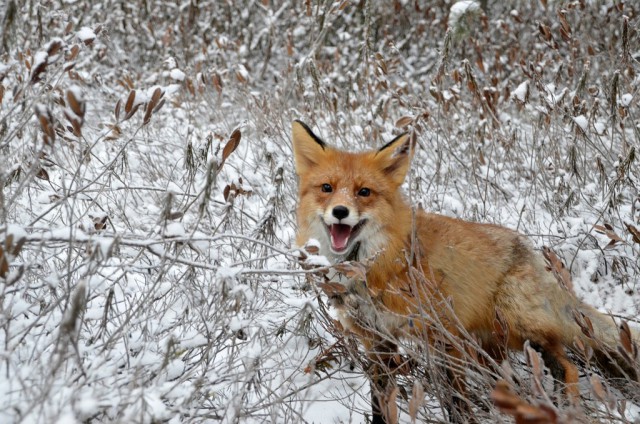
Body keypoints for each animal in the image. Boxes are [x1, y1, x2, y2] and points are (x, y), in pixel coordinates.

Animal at [292, 120, 636, 424]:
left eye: (364, 192)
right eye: (327, 188)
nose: (340, 212)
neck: (381, 263)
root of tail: (531, 251)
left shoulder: (443, 333)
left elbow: (455, 400)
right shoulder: (376, 339)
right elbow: (381, 402)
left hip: (517, 322)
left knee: (567, 367)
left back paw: (565, 410)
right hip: (490, 342)